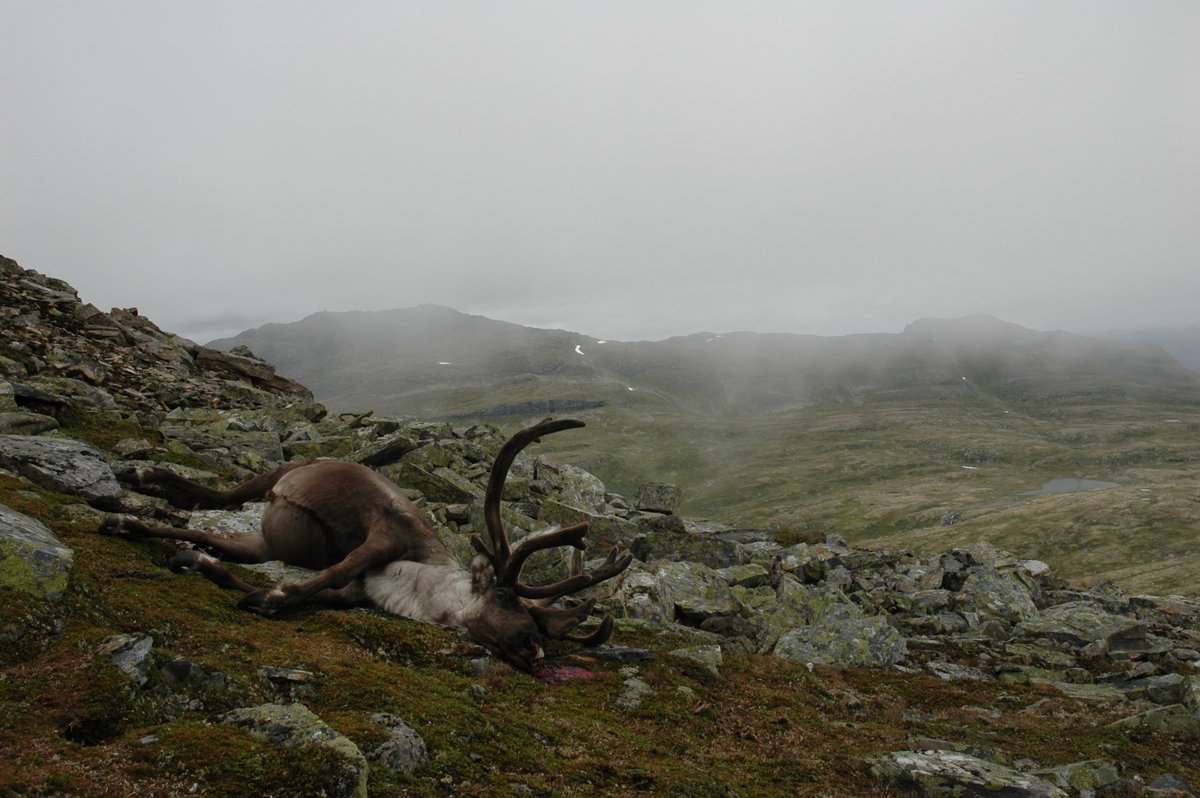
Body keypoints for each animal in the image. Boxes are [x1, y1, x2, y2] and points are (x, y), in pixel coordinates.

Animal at [100, 418, 632, 673]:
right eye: (503, 595)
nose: (533, 649)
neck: (407, 581)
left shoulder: (354, 592)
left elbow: (246, 572)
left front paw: (205, 567)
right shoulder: (385, 529)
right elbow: (328, 572)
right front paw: (271, 596)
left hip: (267, 538)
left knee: (210, 528)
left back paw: (131, 521)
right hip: (275, 477)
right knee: (218, 496)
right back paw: (140, 474)